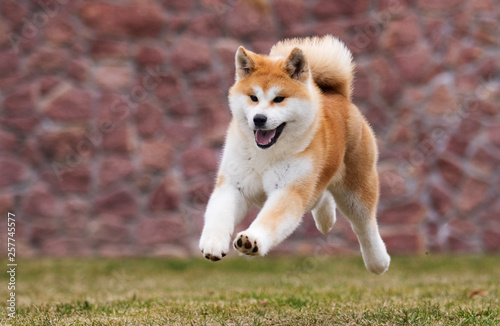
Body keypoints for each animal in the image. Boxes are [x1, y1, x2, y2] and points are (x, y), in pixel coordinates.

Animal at [199, 35, 390, 276]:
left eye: (279, 99)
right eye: (253, 97)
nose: (259, 118)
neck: (265, 156)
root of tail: (338, 96)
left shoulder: (289, 189)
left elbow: (270, 219)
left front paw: (252, 240)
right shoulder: (234, 184)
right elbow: (219, 214)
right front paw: (213, 243)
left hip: (356, 190)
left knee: (365, 226)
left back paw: (378, 261)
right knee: (322, 195)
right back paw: (326, 219)